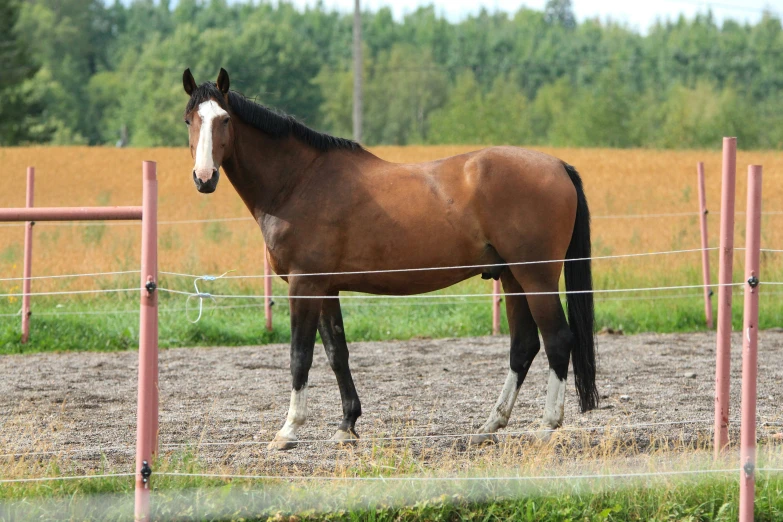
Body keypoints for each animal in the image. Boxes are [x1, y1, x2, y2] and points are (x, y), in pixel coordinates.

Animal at [184, 68, 596, 446]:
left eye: (224, 119)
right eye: (189, 120)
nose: (204, 178)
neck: (299, 182)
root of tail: (558, 165)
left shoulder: (305, 285)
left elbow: (300, 355)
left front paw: (288, 430)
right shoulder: (326, 288)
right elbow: (337, 352)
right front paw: (347, 425)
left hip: (536, 277)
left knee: (558, 339)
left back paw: (546, 425)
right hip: (512, 277)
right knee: (523, 346)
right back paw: (491, 424)